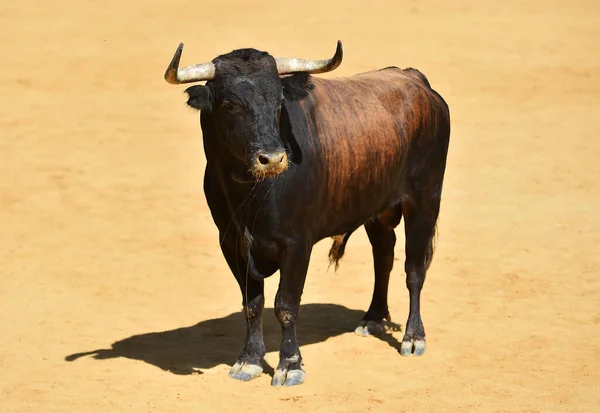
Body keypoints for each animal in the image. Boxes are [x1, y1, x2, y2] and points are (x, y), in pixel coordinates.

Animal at [164, 42, 450, 386]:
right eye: (230, 105)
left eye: (279, 101)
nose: (272, 158)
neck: (251, 193)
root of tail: (416, 80)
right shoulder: (232, 243)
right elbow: (252, 303)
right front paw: (249, 360)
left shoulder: (297, 244)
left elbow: (286, 304)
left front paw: (290, 365)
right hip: (377, 208)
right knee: (383, 257)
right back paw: (372, 319)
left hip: (424, 200)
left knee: (414, 269)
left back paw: (413, 337)